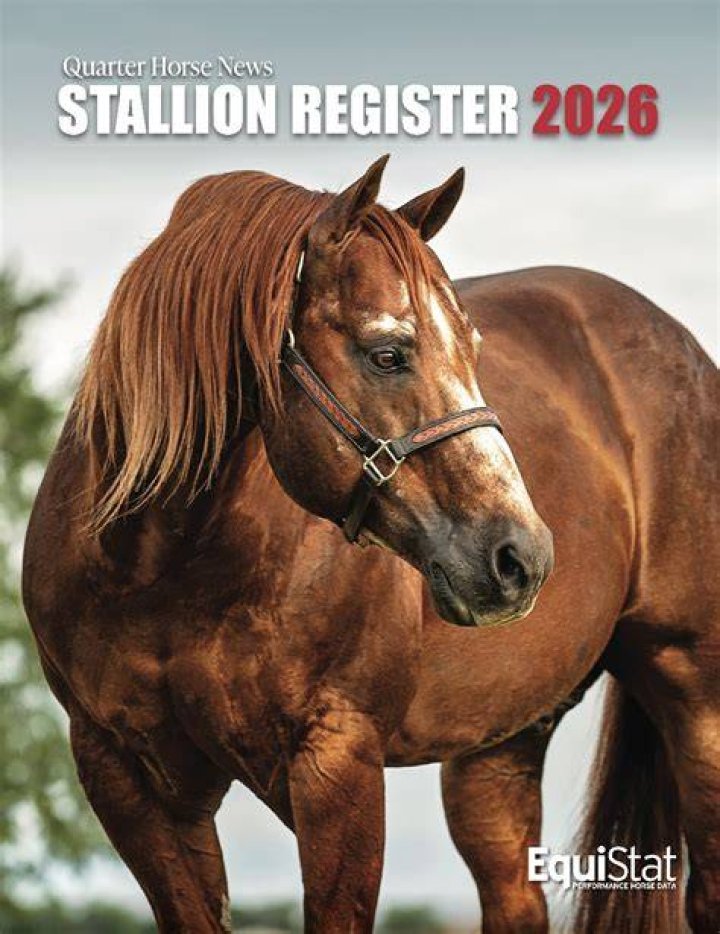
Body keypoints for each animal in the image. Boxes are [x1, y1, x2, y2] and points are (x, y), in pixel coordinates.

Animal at [22, 157, 718, 933]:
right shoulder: (127, 779)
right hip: (500, 746)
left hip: (697, 698)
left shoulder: (338, 760)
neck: (164, 570)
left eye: (472, 349)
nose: (523, 556)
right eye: (387, 353)